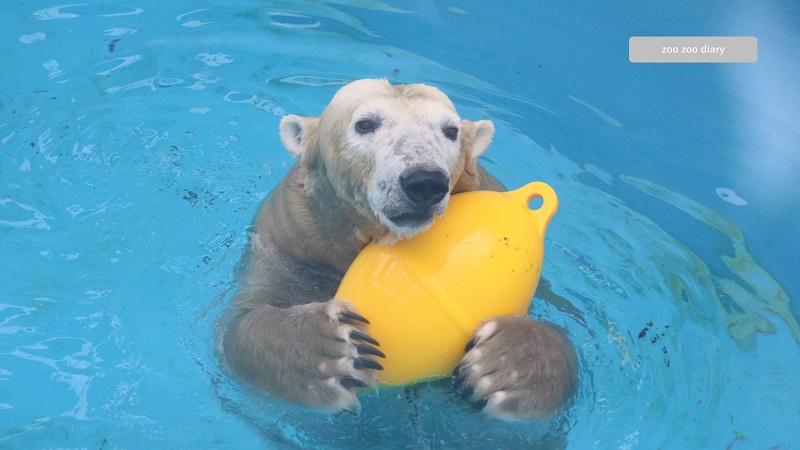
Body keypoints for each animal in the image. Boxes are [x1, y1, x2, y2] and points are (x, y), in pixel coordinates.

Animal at [220, 79, 578, 420]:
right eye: (365, 124)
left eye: (451, 131)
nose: (425, 181)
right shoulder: (289, 243)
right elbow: (241, 319)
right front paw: (327, 351)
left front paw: (510, 364)